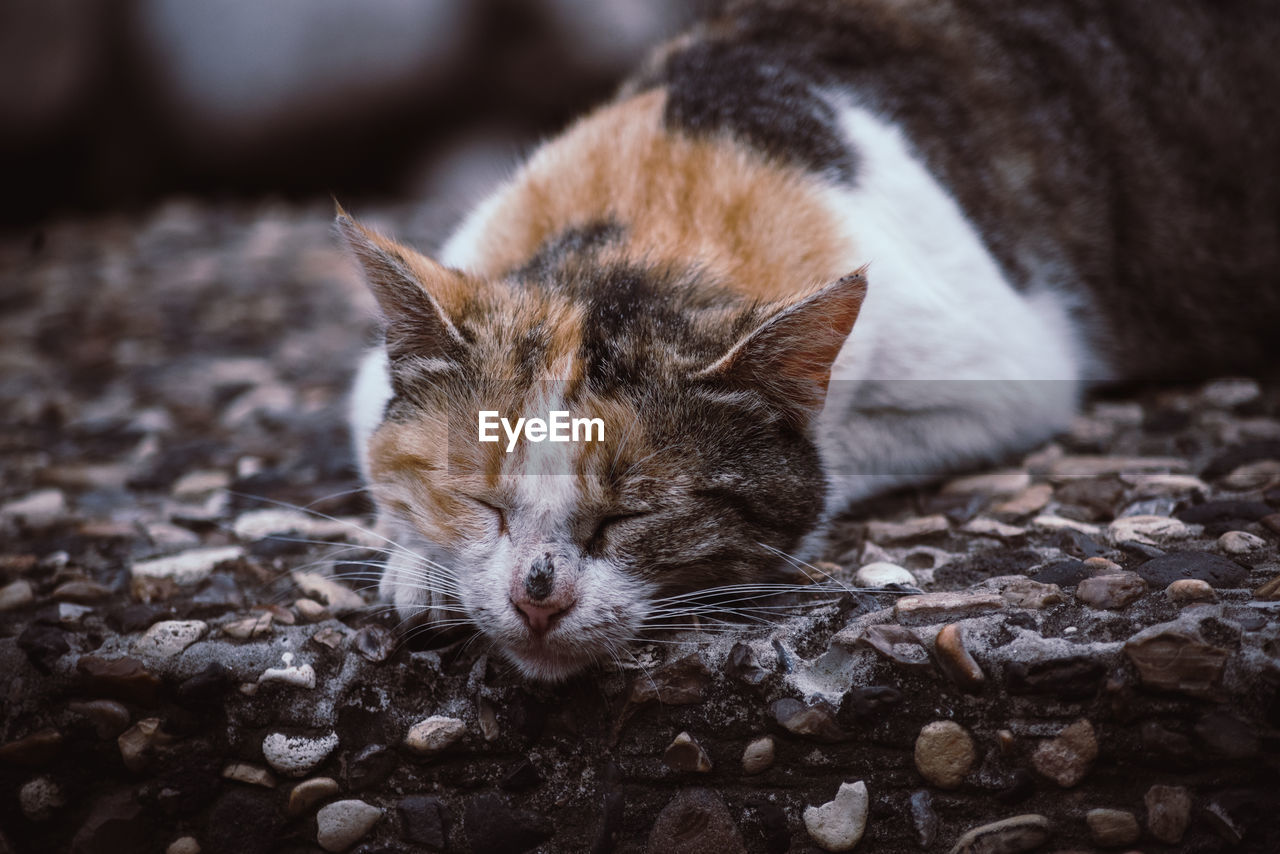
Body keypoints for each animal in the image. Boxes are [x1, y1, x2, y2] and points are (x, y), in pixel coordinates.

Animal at [340, 0, 1280, 681]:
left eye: (630, 516)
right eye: (482, 501)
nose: (537, 598)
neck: (664, 201)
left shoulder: (1004, 374)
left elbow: (828, 464)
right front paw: (421, 563)